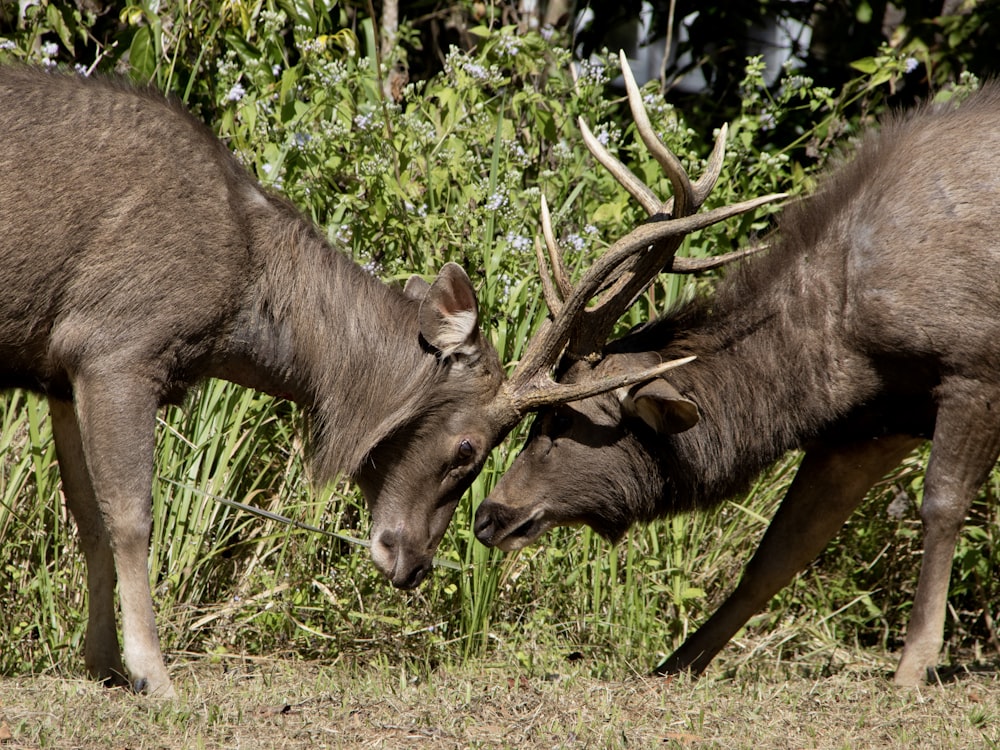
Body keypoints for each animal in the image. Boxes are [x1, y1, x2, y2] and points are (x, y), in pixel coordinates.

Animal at [0, 63, 780, 700]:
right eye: (469, 448)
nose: (413, 564)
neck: (240, 301)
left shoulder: (58, 369)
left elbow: (88, 520)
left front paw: (102, 664)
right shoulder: (117, 342)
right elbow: (131, 517)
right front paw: (154, 675)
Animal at [474, 54, 1000, 688]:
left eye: (559, 420)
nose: (488, 515)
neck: (846, 339)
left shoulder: (976, 368)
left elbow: (941, 505)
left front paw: (913, 665)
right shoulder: (871, 422)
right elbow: (780, 552)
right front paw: (677, 662)